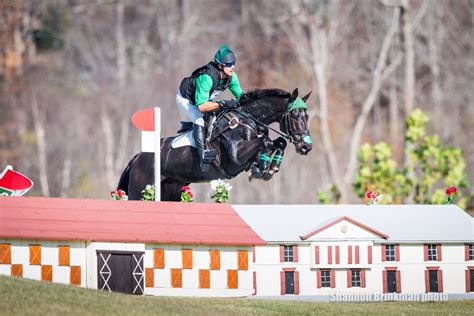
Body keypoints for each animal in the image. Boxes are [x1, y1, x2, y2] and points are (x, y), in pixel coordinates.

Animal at [116, 87, 312, 200]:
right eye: (295, 115)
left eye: (307, 116)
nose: (306, 147)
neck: (247, 119)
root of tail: (137, 157)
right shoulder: (235, 157)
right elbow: (265, 141)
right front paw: (263, 167)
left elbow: (278, 141)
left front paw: (269, 168)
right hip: (140, 190)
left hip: (171, 190)